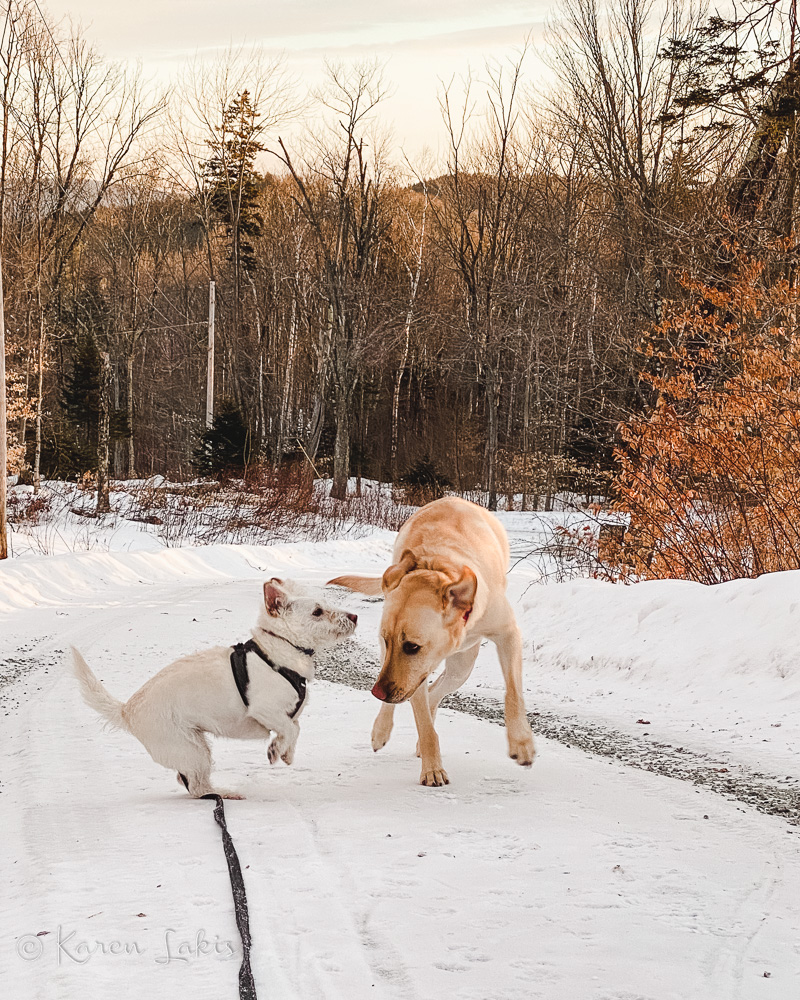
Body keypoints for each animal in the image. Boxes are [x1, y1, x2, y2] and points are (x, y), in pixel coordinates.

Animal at [72, 580, 360, 796]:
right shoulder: (264, 710)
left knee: (188, 781)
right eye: (317, 611)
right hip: (191, 748)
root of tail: (127, 711)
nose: (355, 616)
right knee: (197, 787)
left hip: (194, 745)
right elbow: (291, 728)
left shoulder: (286, 715)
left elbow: (294, 728)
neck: (278, 650)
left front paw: (286, 753)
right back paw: (227, 794)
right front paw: (276, 750)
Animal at [328, 496, 536, 784]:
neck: (436, 566)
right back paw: (381, 730)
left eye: (411, 646)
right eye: (388, 640)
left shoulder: (508, 634)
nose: (377, 691)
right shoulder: (413, 673)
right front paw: (432, 769)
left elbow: (513, 692)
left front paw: (521, 742)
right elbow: (424, 724)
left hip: (462, 666)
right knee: (420, 696)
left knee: (436, 691)